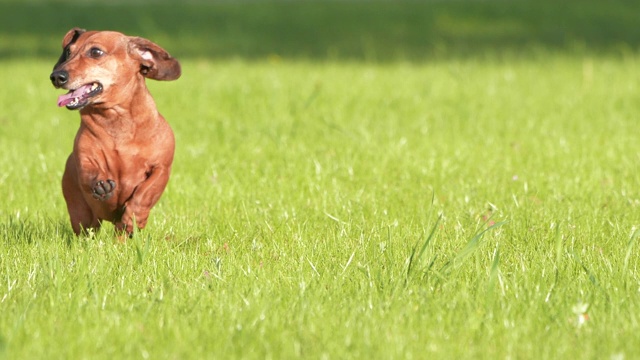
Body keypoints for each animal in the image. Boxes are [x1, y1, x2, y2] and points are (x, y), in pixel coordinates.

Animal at [49, 28, 180, 236]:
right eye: (68, 52)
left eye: (96, 52)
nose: (56, 76)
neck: (116, 121)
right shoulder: (84, 158)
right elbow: (89, 172)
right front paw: (101, 185)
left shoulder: (161, 168)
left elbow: (145, 193)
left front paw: (134, 217)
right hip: (82, 215)